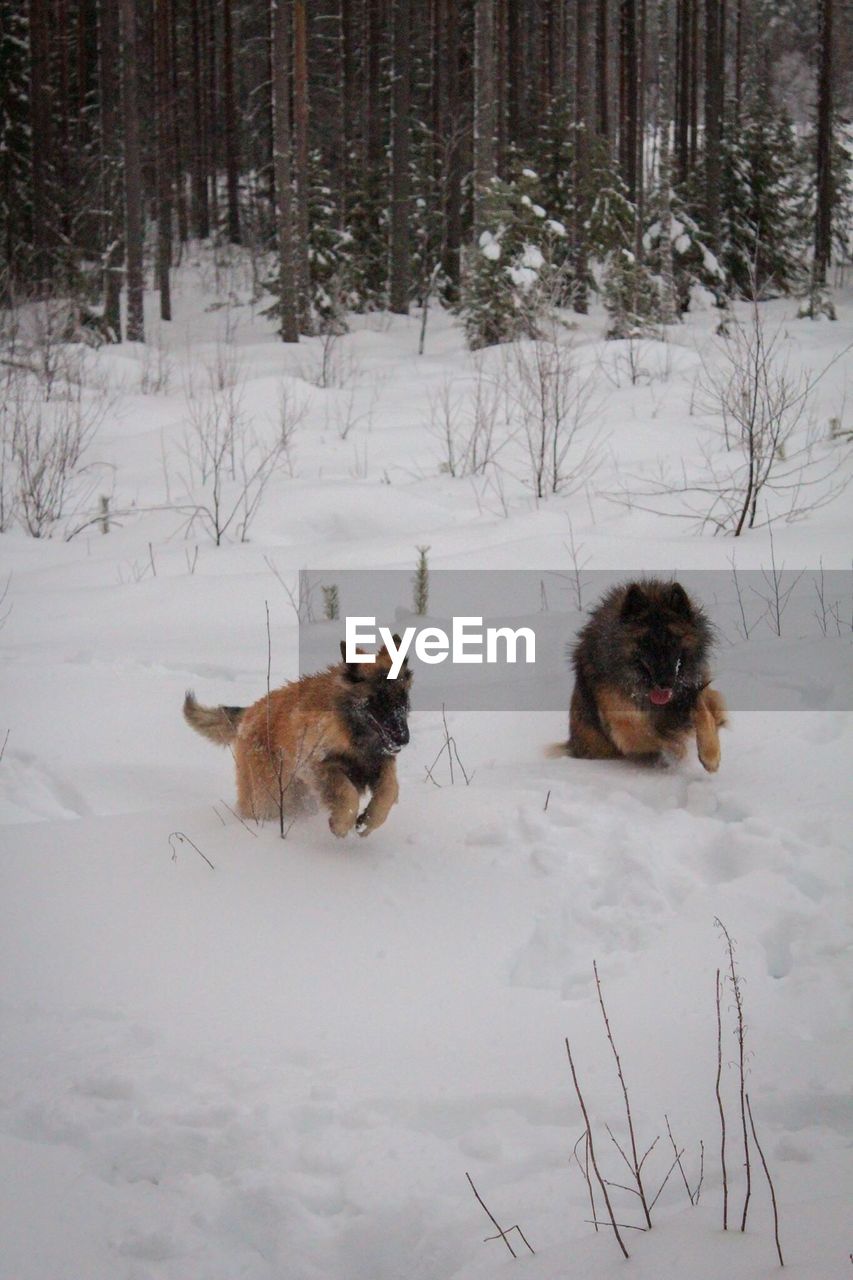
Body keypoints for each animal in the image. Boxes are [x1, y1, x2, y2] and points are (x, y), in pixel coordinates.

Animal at [183, 637, 412, 834]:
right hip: (268, 795)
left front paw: (369, 822)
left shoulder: (381, 763)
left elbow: (389, 790)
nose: (404, 739)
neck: (349, 728)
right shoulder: (315, 765)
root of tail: (250, 712)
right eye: (378, 701)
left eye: (402, 700)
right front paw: (341, 824)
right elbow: (347, 793)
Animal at [555, 581, 727, 768]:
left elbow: (703, 712)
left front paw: (710, 755)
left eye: (673, 641)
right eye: (646, 643)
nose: (665, 683)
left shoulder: (693, 687)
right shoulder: (622, 721)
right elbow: (651, 735)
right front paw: (676, 748)